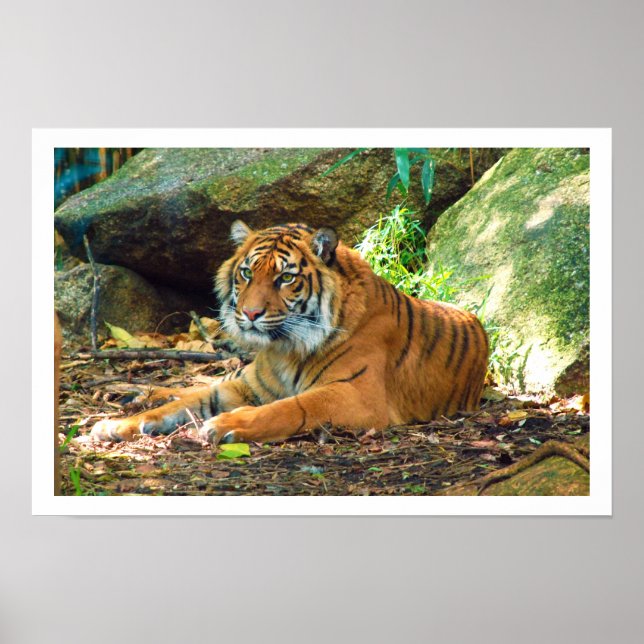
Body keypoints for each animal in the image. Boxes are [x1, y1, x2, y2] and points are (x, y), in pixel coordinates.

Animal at [91, 220, 489, 445]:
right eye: (247, 273)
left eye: (285, 277)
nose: (250, 313)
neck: (285, 347)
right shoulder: (247, 386)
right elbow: (185, 403)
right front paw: (115, 425)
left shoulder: (356, 395)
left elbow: (289, 407)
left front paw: (226, 424)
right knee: (190, 386)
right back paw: (135, 393)